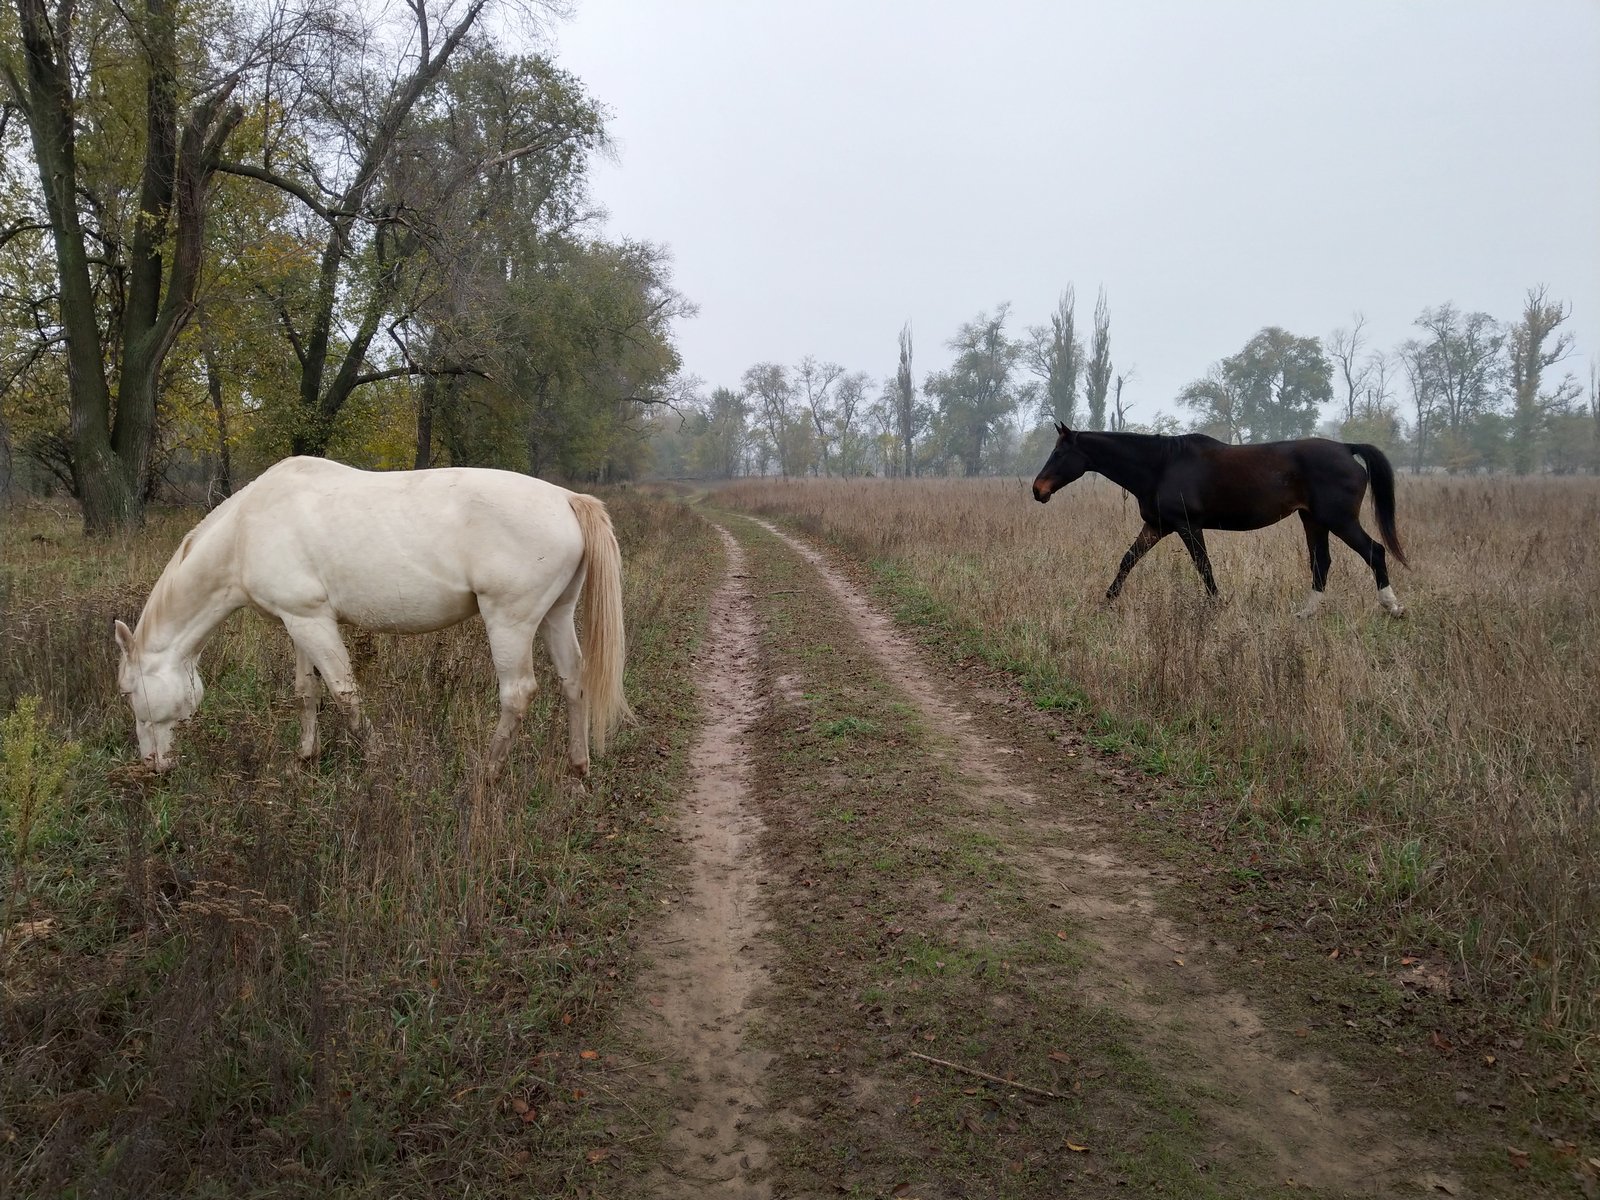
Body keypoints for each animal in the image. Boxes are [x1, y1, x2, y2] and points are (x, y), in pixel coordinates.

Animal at [114, 457, 630, 780]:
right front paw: (305, 758)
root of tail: (566, 498)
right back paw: (577, 767)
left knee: (518, 694)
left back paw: (487, 773)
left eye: (128, 691)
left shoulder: (312, 621)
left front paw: (377, 760)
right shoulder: (300, 621)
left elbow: (345, 694)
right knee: (574, 681)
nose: (151, 764)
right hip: (556, 616)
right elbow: (306, 692)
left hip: (511, 622)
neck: (247, 529)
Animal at [1030, 425, 1408, 620]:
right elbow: (1127, 560)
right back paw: (1304, 614)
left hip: (1338, 519)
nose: (1038, 490)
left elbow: (1204, 566)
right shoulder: (1157, 527)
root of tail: (1346, 448)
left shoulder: (1187, 526)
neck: (1160, 466)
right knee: (1322, 562)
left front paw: (1216, 606)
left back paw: (1392, 607)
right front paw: (1106, 601)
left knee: (1374, 551)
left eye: (1060, 454)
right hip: (1313, 518)